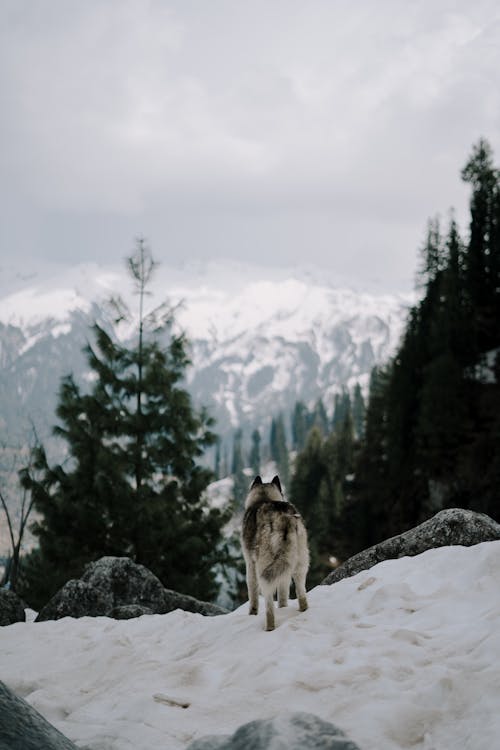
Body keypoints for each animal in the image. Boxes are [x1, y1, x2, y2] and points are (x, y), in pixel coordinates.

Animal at [241, 478, 308, 632]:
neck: (264, 498)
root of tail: (284, 517)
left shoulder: (250, 564)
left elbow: (252, 593)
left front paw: (252, 614)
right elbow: (283, 594)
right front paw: (283, 608)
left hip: (263, 568)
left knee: (268, 603)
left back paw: (269, 627)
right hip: (298, 563)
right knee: (301, 592)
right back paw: (303, 610)